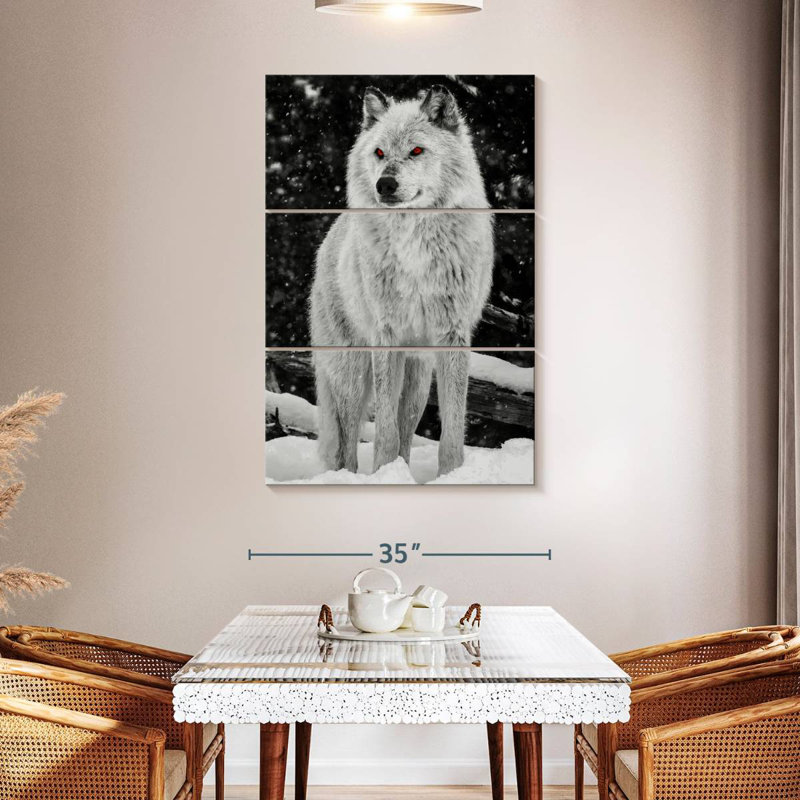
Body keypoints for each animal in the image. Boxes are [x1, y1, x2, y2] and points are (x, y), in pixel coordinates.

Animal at [310, 84, 494, 477]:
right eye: (379, 153)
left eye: (417, 151)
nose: (385, 184)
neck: (415, 242)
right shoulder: (387, 334)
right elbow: (384, 431)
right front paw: (383, 471)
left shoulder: (451, 335)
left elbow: (451, 429)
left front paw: (450, 476)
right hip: (352, 372)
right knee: (347, 441)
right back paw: (351, 477)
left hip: (418, 376)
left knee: (406, 421)